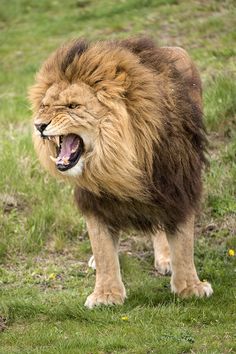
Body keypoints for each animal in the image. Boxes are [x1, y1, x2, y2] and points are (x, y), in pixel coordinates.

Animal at [29, 36, 212, 306]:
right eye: (44, 106)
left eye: (73, 106)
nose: (39, 125)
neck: (115, 162)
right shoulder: (94, 199)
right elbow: (103, 247)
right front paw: (106, 295)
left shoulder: (179, 184)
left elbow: (183, 242)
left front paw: (190, 287)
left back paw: (166, 259)